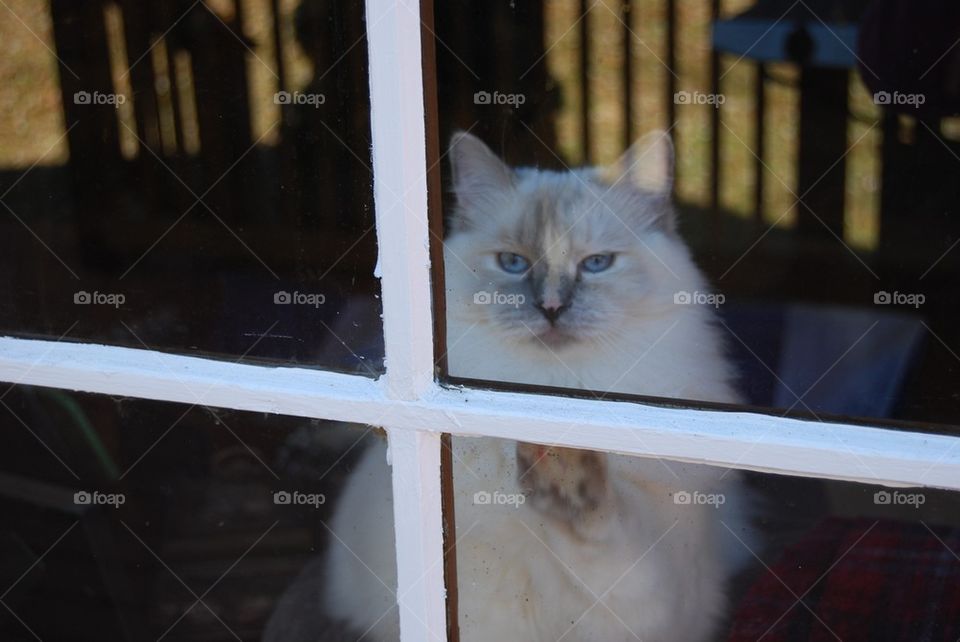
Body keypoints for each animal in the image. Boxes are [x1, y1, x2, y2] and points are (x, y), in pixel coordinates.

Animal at [318, 131, 752, 640]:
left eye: (597, 264)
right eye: (512, 263)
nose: (551, 307)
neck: (555, 387)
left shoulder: (657, 598)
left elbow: (613, 544)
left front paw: (565, 471)